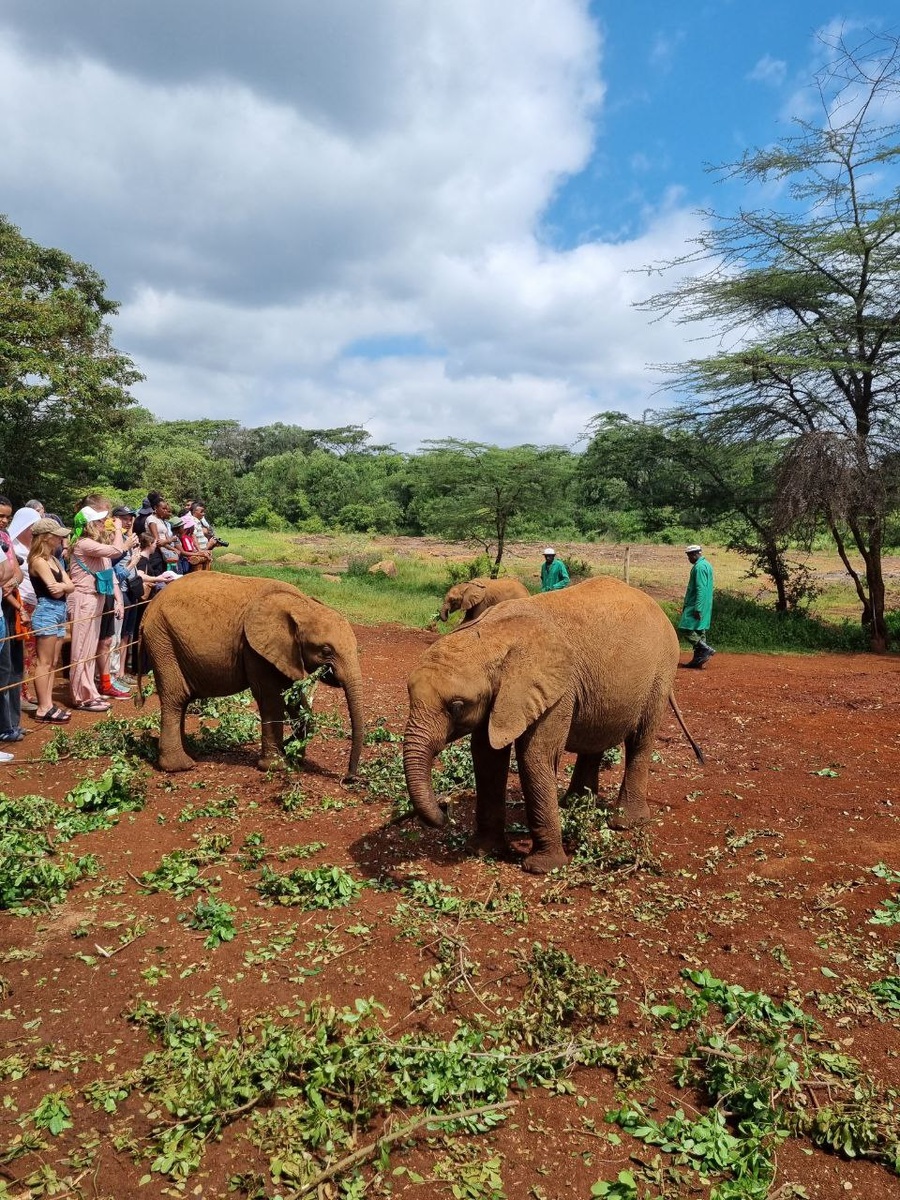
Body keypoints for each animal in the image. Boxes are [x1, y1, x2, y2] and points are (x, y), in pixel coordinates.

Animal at [138, 572, 364, 776]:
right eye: (326, 651)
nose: (349, 777)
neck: (301, 604)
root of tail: (148, 609)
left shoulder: (283, 652)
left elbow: (292, 697)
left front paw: (296, 758)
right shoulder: (254, 649)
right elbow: (270, 698)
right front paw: (277, 766)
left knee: (182, 700)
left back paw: (191, 754)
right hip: (162, 641)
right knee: (176, 697)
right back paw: (180, 766)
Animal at [404, 576, 703, 874]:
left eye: (456, 706)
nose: (445, 808)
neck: (492, 636)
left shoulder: (557, 691)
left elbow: (535, 757)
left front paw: (541, 868)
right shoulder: (498, 697)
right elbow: (486, 756)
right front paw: (480, 851)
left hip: (661, 672)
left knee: (640, 740)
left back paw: (625, 823)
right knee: (595, 739)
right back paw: (574, 806)